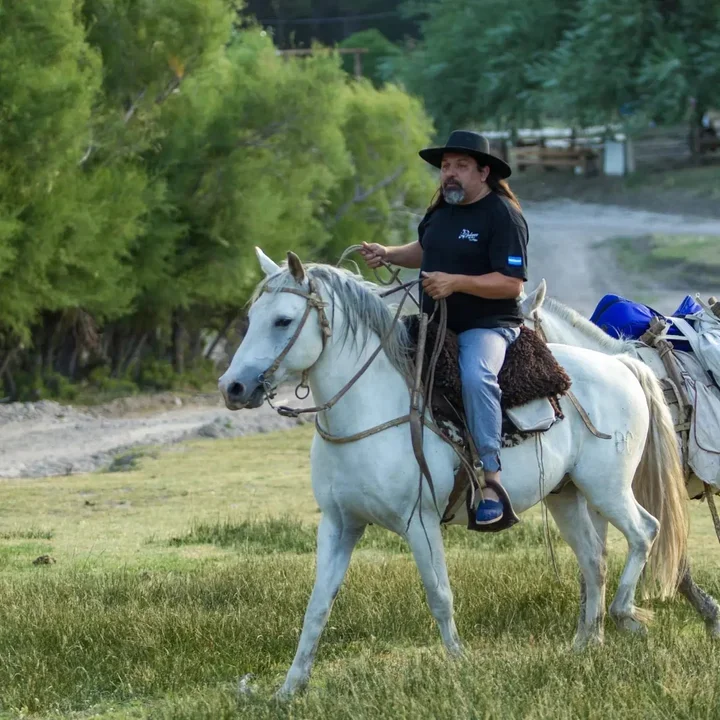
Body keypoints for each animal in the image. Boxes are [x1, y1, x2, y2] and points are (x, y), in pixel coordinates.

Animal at [222, 249, 688, 696]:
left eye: (283, 320)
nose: (232, 387)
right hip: (567, 495)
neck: (369, 407)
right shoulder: (339, 524)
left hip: (607, 487)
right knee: (594, 559)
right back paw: (585, 644)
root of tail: (623, 365)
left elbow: (439, 595)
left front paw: (460, 666)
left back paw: (624, 614)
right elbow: (318, 605)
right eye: (252, 317)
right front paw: (290, 687)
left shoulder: (420, 522)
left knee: (645, 530)